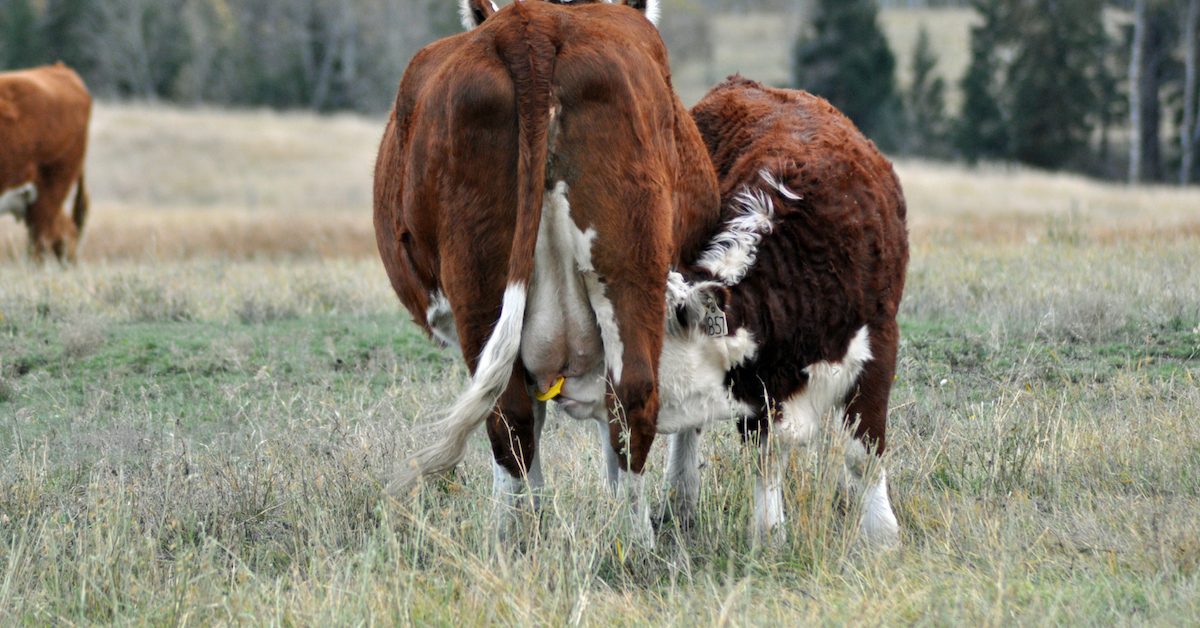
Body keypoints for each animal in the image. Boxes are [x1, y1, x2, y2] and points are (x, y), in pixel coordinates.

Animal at [369, 0, 715, 542]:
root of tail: (530, 24)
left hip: (486, 286)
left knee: (520, 418)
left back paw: (527, 541)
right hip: (612, 274)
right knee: (617, 404)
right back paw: (626, 542)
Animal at [657, 76, 907, 547]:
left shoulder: (879, 345)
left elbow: (863, 451)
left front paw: (882, 536)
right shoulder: (757, 381)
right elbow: (767, 456)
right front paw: (770, 534)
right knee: (689, 431)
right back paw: (679, 501)